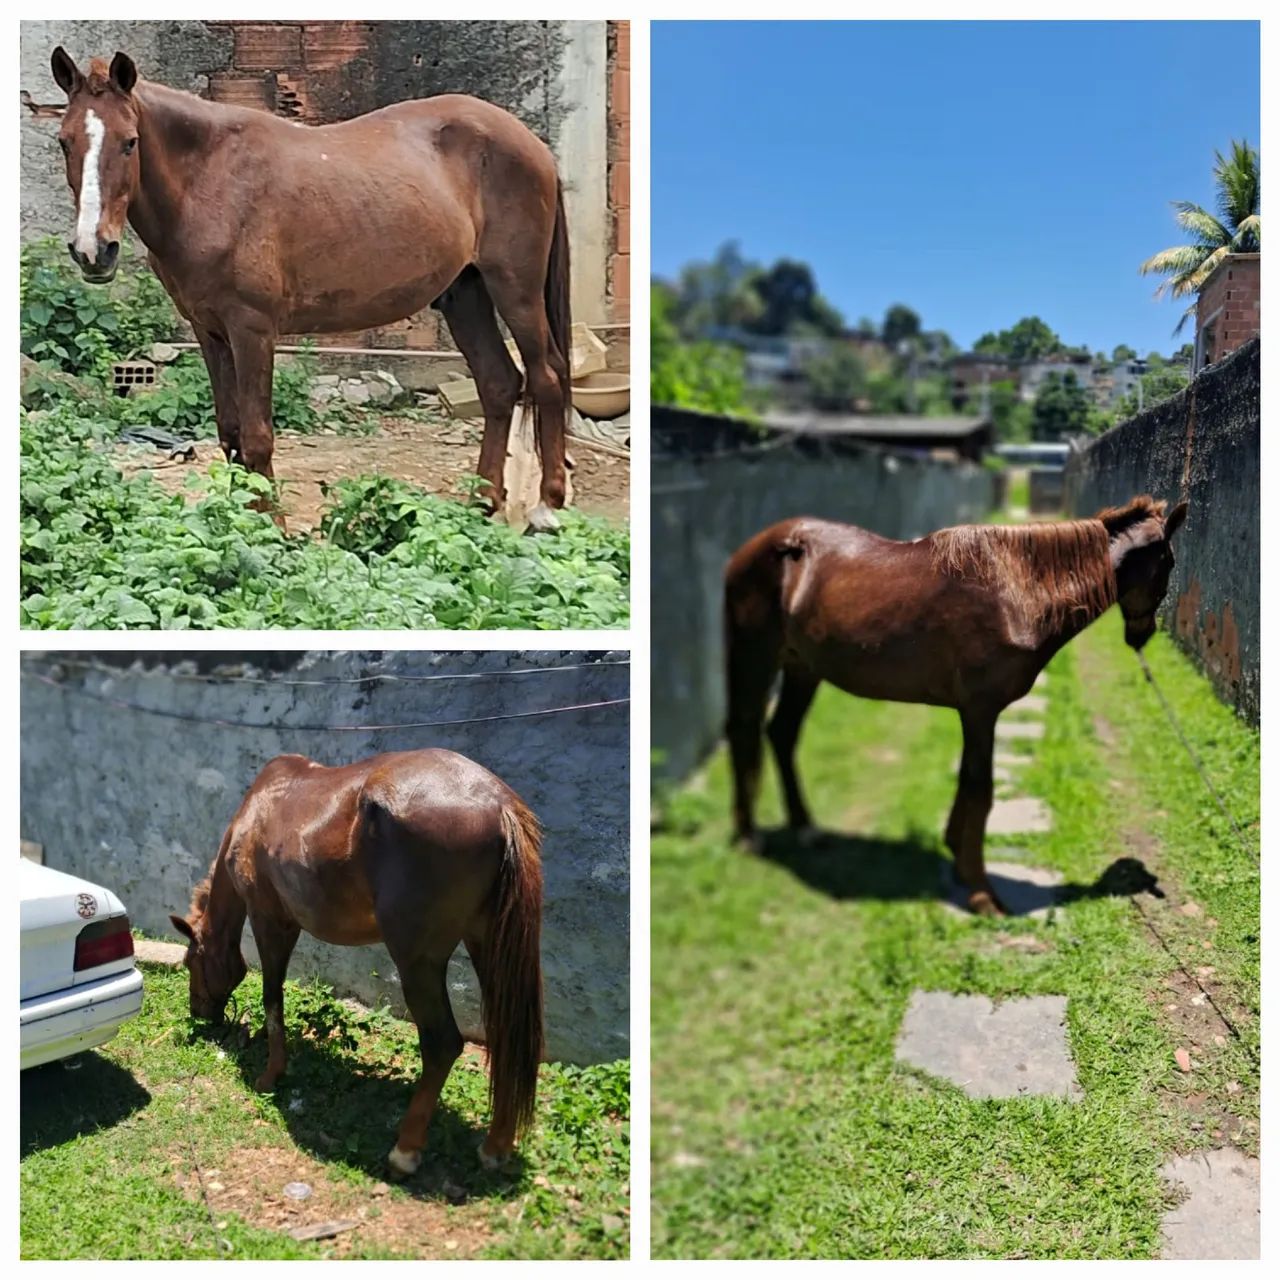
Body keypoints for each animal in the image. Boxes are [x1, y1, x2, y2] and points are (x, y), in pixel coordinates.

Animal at [49, 47, 571, 532]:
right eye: (64, 141)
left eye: (130, 142)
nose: (93, 250)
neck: (211, 181)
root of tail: (533, 144)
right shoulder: (209, 331)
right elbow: (229, 431)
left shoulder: (252, 330)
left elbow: (257, 436)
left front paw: (273, 527)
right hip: (465, 294)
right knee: (499, 384)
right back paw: (482, 501)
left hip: (515, 290)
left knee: (545, 377)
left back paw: (546, 507)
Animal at [168, 748, 544, 1179]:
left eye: (191, 962)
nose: (199, 1013)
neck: (255, 813)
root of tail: (498, 805)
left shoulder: (270, 921)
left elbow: (272, 998)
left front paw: (271, 1073)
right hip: (485, 945)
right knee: (506, 1037)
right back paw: (495, 1146)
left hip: (418, 962)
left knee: (443, 1044)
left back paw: (405, 1151)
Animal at [723, 495, 1189, 916]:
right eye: (1169, 562)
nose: (1141, 635)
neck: (1017, 591)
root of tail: (754, 547)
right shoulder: (981, 710)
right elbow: (981, 791)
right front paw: (983, 895)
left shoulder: (974, 712)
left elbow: (967, 782)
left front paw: (960, 862)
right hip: (755, 659)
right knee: (744, 730)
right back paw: (748, 836)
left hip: (802, 668)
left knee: (782, 734)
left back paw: (805, 829)